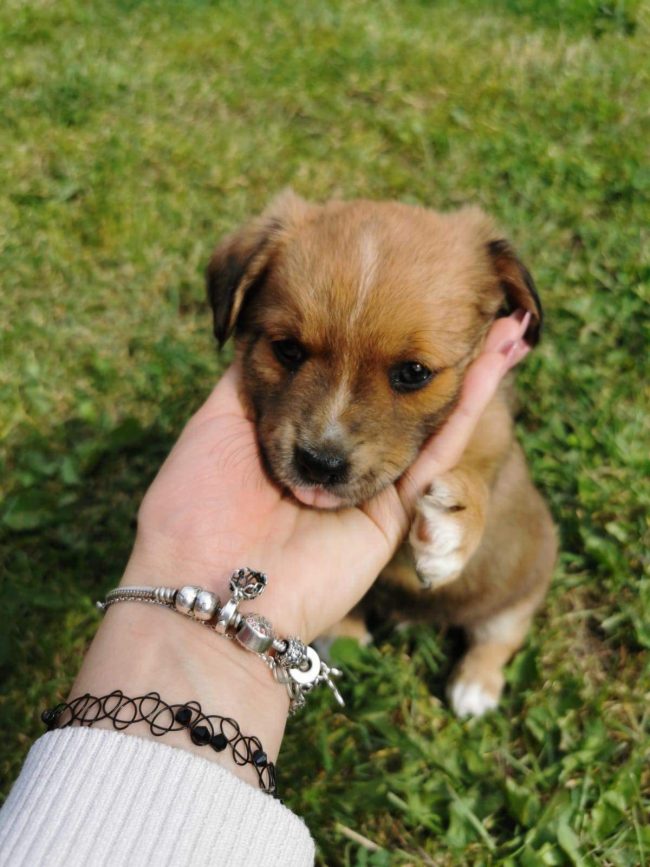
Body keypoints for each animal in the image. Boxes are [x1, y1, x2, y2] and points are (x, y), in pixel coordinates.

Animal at [206, 191, 557, 717]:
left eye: (413, 372)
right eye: (287, 349)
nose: (319, 464)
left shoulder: (490, 439)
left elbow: (476, 481)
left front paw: (452, 525)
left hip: (524, 587)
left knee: (498, 638)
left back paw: (475, 686)